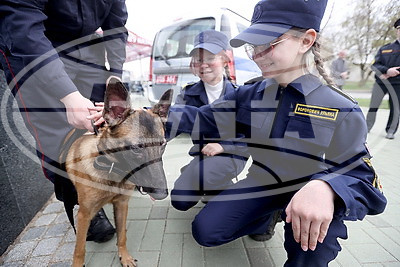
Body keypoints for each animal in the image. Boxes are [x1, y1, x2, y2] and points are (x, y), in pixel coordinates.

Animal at [63, 76, 173, 266]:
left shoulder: (121, 205)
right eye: (136, 148)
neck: (112, 170)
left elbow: (122, 235)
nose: (162, 193)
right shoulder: (84, 214)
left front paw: (125, 257)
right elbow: (79, 249)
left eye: (163, 144)